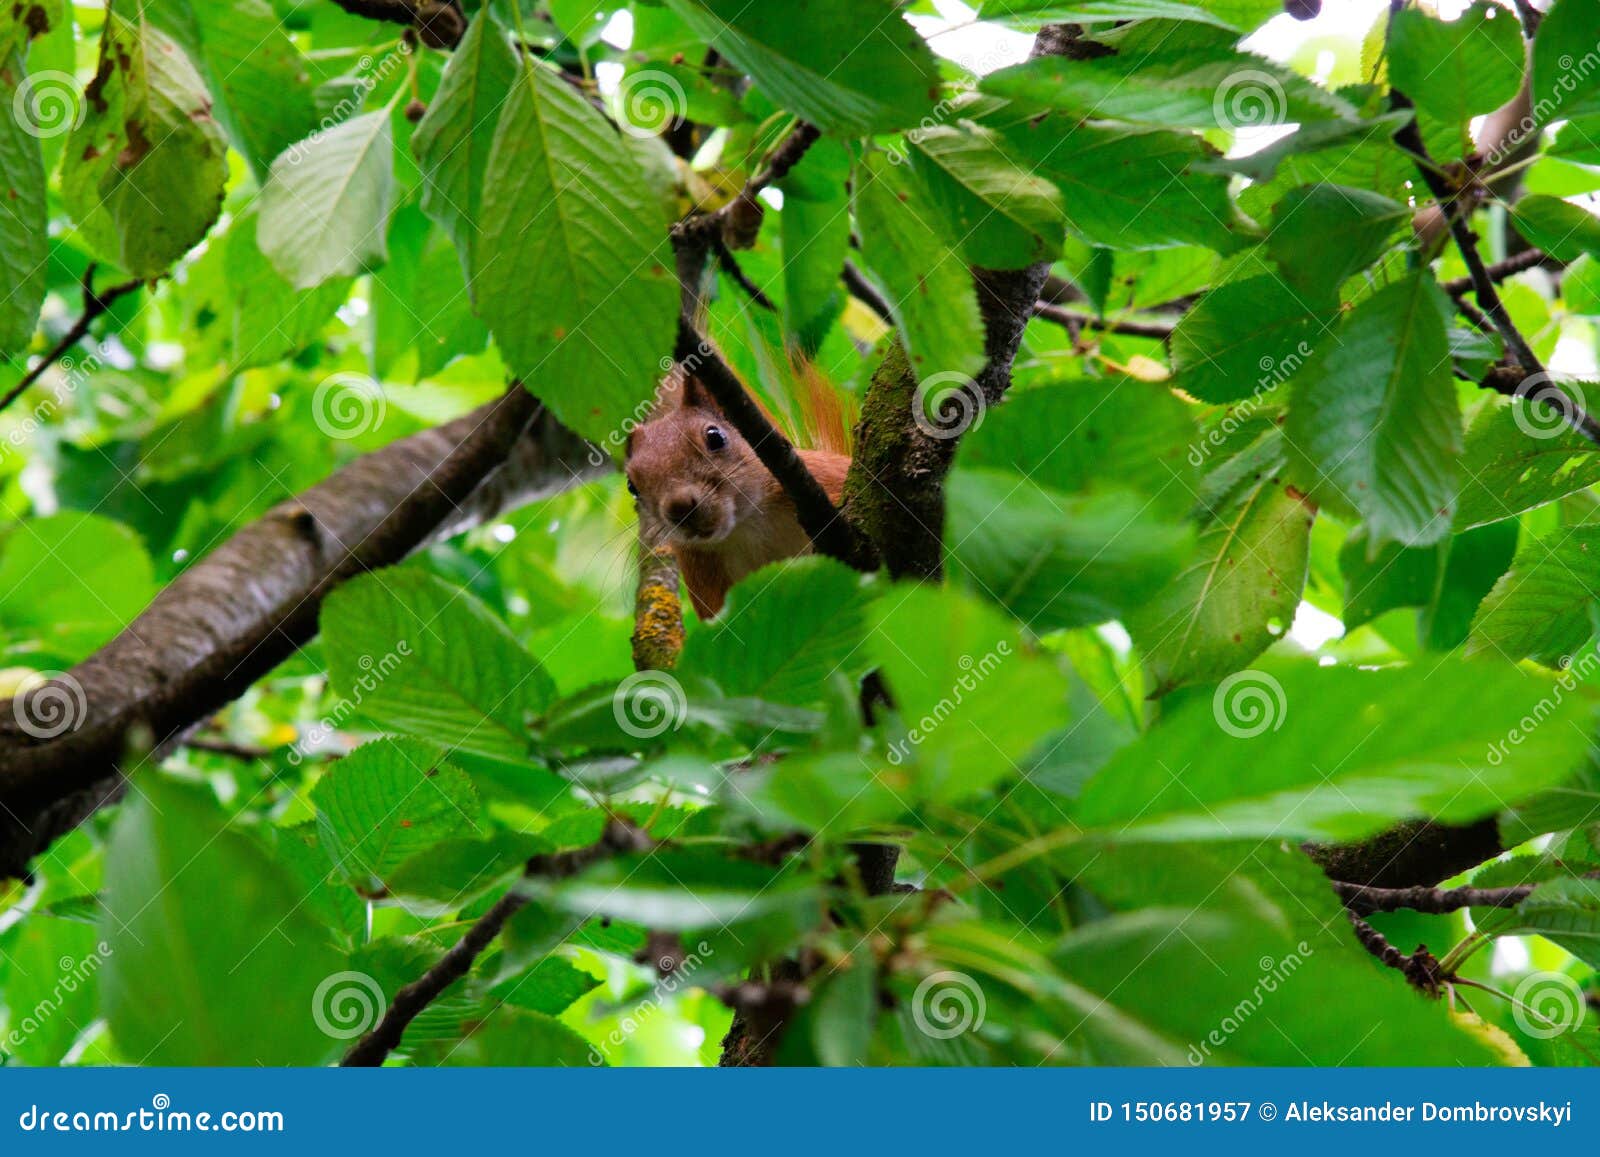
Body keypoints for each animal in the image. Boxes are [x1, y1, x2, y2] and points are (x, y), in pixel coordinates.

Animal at [625, 366, 851, 621]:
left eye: (715, 437)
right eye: (631, 486)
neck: (747, 527)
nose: (679, 506)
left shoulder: (826, 478)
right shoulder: (703, 573)